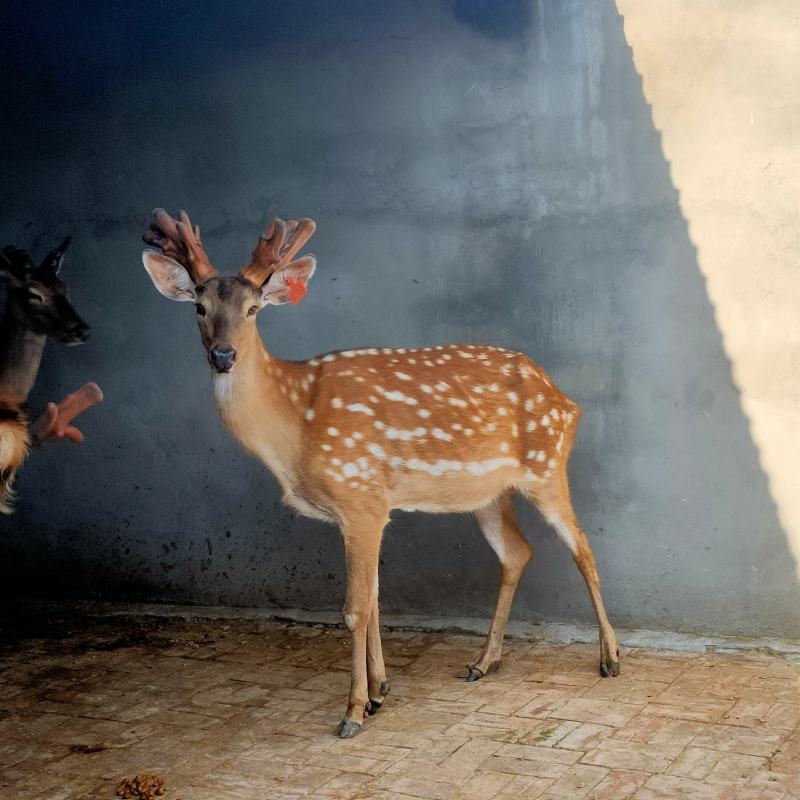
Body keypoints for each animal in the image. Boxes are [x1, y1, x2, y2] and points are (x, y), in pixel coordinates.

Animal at [141, 208, 619, 738]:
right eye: (198, 307)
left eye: (253, 309)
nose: (223, 355)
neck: (296, 427)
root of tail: (566, 400)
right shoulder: (362, 509)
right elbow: (372, 598)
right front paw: (379, 692)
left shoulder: (360, 496)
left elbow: (354, 608)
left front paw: (352, 711)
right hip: (489, 494)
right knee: (517, 553)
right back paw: (483, 661)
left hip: (547, 463)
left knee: (583, 547)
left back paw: (610, 658)